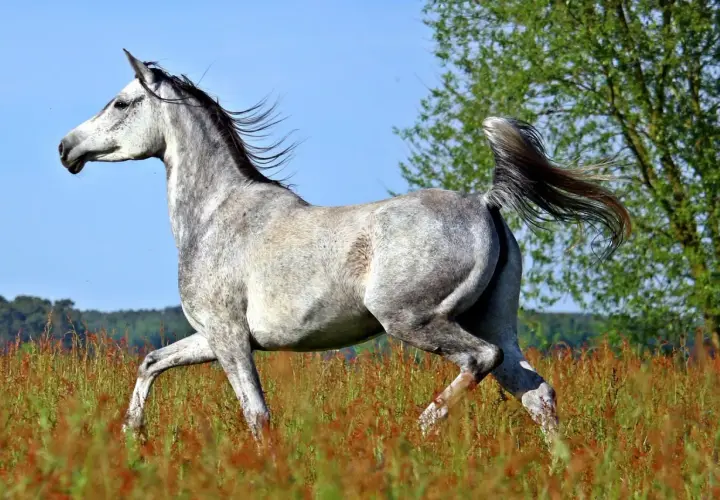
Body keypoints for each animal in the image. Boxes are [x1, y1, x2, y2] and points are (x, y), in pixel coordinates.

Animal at [58, 50, 631, 444]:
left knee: (480, 361)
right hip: (495, 322)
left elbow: (257, 416)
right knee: (537, 394)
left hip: (414, 321)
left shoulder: (229, 338)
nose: (67, 147)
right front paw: (133, 435)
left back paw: (419, 430)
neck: (217, 213)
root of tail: (485, 203)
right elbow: (151, 362)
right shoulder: (212, 337)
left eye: (121, 102)